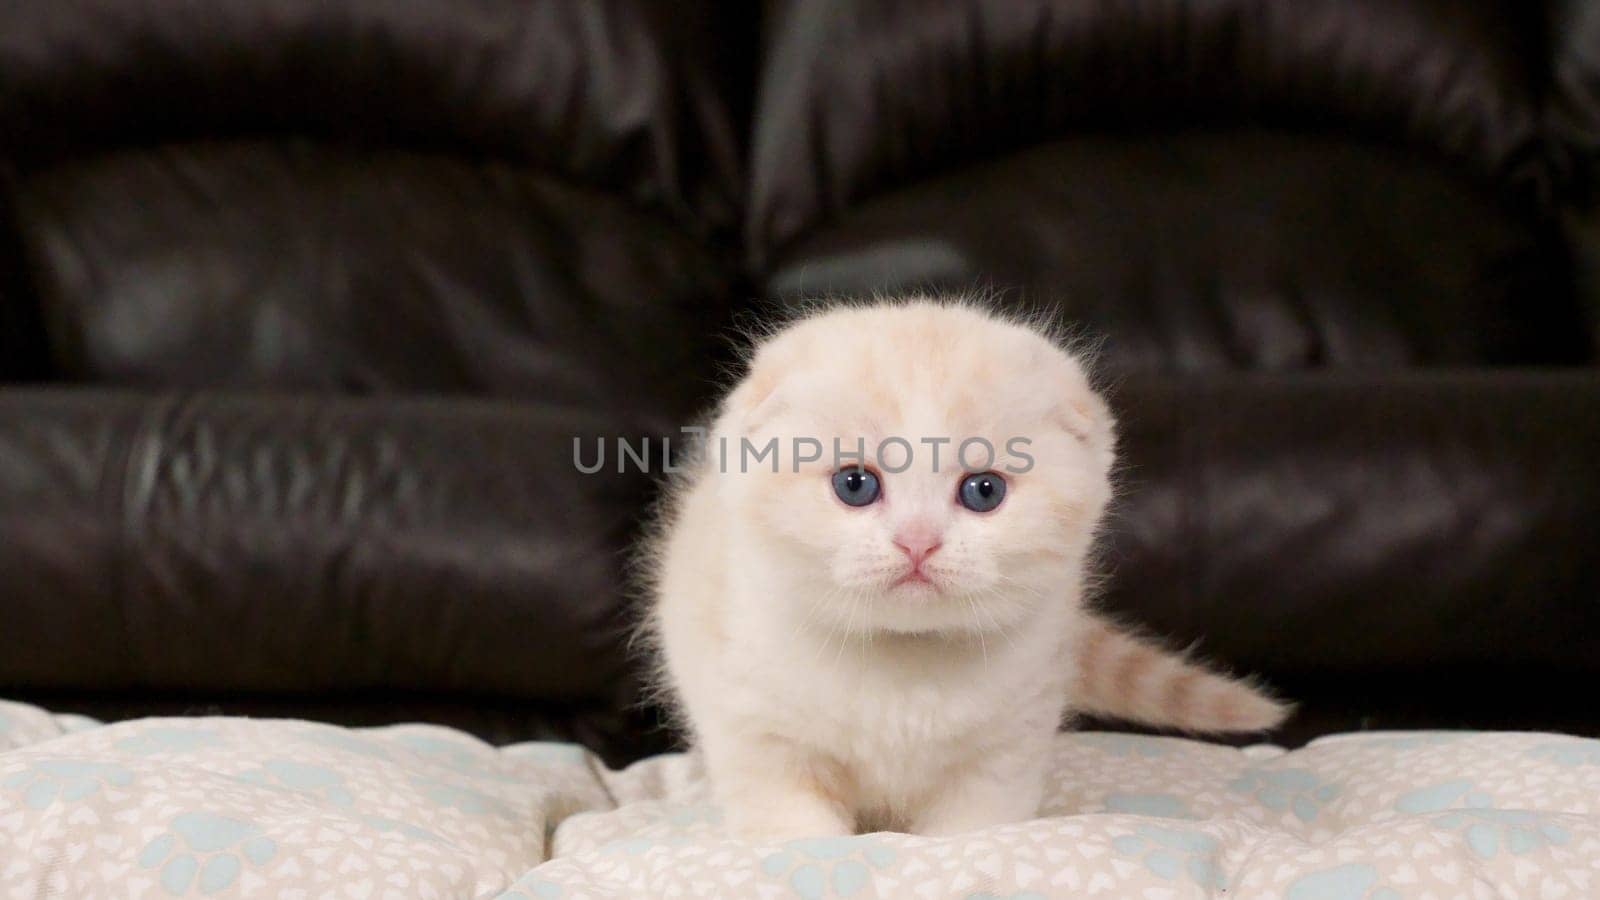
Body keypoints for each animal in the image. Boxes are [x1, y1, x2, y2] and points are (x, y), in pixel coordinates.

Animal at [643, 297, 1280, 839]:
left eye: (983, 491)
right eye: (855, 484)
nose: (917, 542)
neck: (903, 668)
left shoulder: (1006, 748)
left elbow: (971, 833)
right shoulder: (759, 733)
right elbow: (794, 827)